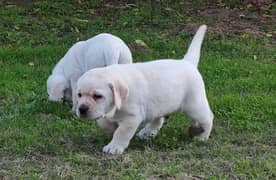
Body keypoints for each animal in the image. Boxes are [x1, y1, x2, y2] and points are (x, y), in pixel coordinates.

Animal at [75, 25, 213, 155]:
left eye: (98, 96)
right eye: (79, 95)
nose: (82, 109)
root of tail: (187, 62)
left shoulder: (132, 117)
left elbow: (121, 132)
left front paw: (114, 147)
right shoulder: (106, 113)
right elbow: (103, 123)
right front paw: (111, 128)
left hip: (194, 105)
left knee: (208, 117)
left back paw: (202, 136)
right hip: (161, 104)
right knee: (159, 119)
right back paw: (147, 132)